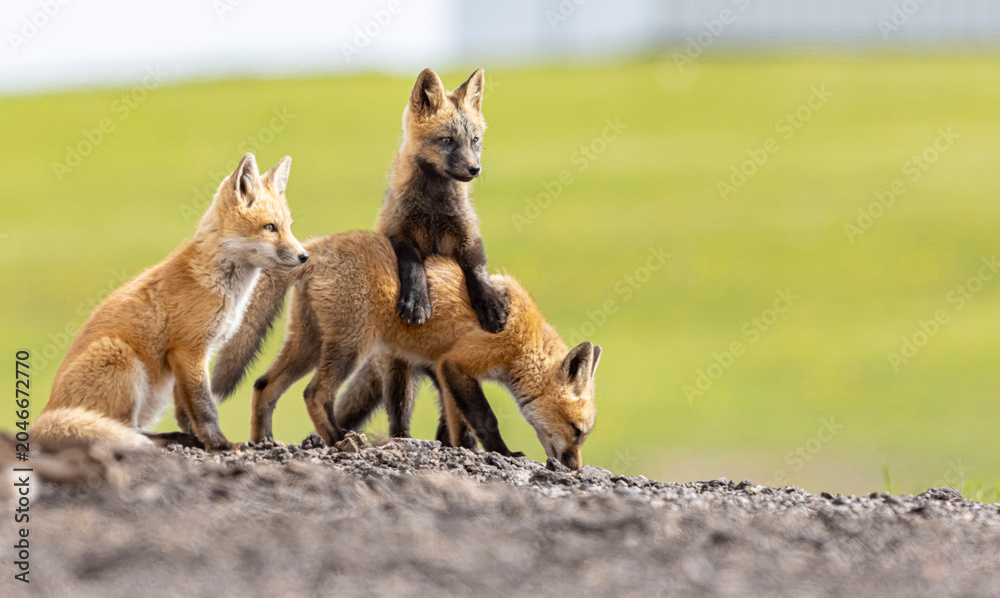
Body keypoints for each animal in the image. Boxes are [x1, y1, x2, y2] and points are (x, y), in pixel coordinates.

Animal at [32, 153, 308, 451]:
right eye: (270, 228)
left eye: (288, 228)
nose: (305, 256)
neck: (220, 285)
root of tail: (44, 415)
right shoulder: (189, 350)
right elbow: (205, 408)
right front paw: (220, 445)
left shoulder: (188, 358)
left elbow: (187, 411)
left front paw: (200, 440)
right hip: (121, 358)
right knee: (121, 430)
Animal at [213, 230, 600, 470]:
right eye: (577, 431)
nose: (573, 469)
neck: (524, 339)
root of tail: (315, 246)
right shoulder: (458, 364)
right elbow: (485, 419)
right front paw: (503, 452)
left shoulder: (446, 371)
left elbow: (458, 426)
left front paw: (462, 451)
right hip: (349, 347)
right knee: (315, 393)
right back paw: (340, 440)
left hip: (308, 345)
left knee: (264, 386)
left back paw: (264, 442)